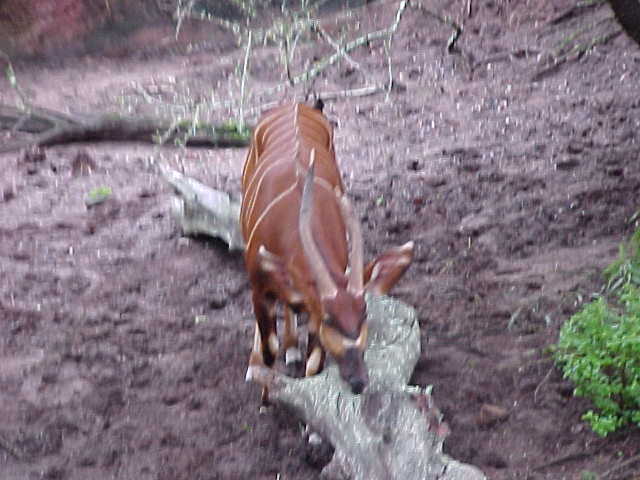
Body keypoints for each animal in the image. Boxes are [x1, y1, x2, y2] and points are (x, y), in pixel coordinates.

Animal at [241, 102, 413, 402]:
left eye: (364, 313)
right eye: (330, 318)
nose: (358, 380)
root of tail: (297, 105)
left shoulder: (311, 308)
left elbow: (314, 364)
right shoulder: (261, 290)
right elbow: (269, 348)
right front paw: (265, 398)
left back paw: (292, 348)